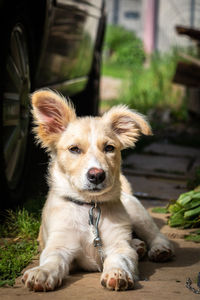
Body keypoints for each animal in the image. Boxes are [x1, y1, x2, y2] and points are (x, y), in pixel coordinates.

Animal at [21, 89, 173, 290]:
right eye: (74, 149)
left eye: (109, 148)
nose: (97, 175)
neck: (90, 207)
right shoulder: (60, 244)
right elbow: (52, 260)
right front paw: (42, 273)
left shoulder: (118, 245)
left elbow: (120, 258)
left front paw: (117, 273)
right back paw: (138, 245)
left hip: (136, 212)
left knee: (154, 233)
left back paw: (159, 248)